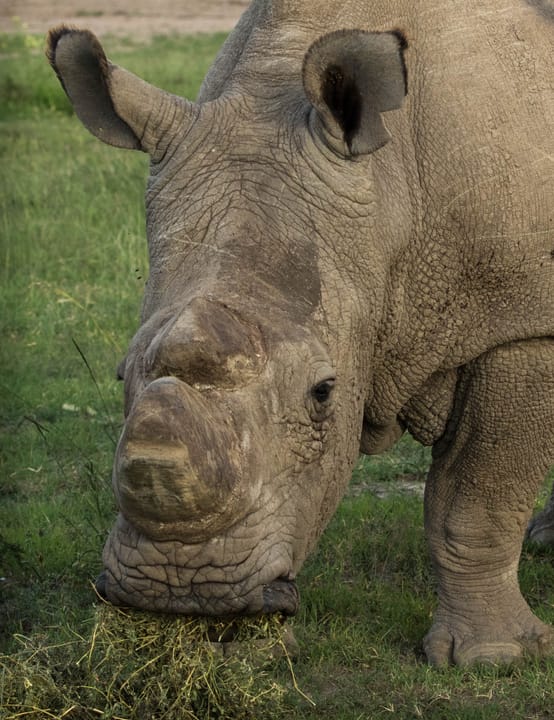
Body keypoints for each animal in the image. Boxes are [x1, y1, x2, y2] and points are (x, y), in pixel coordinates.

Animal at [47, 0, 554, 666]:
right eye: (119, 375)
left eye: (323, 392)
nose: (183, 589)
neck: (391, 188)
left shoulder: (522, 322)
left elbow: (477, 495)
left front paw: (492, 659)